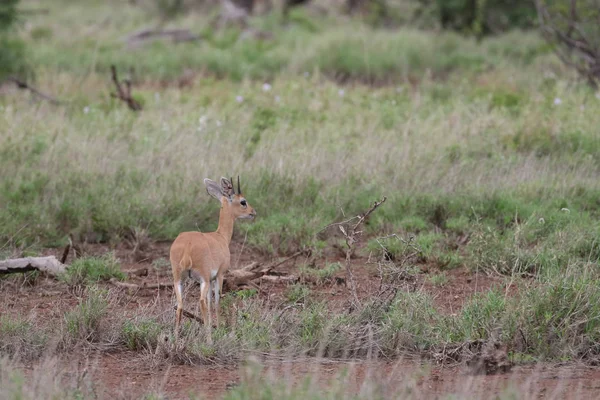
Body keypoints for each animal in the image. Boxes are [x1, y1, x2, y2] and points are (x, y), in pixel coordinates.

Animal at [169, 177, 255, 332]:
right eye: (243, 201)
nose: (253, 212)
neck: (220, 236)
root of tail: (188, 245)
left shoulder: (211, 278)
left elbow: (210, 304)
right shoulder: (219, 275)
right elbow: (216, 302)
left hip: (179, 279)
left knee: (180, 306)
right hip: (203, 279)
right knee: (202, 301)